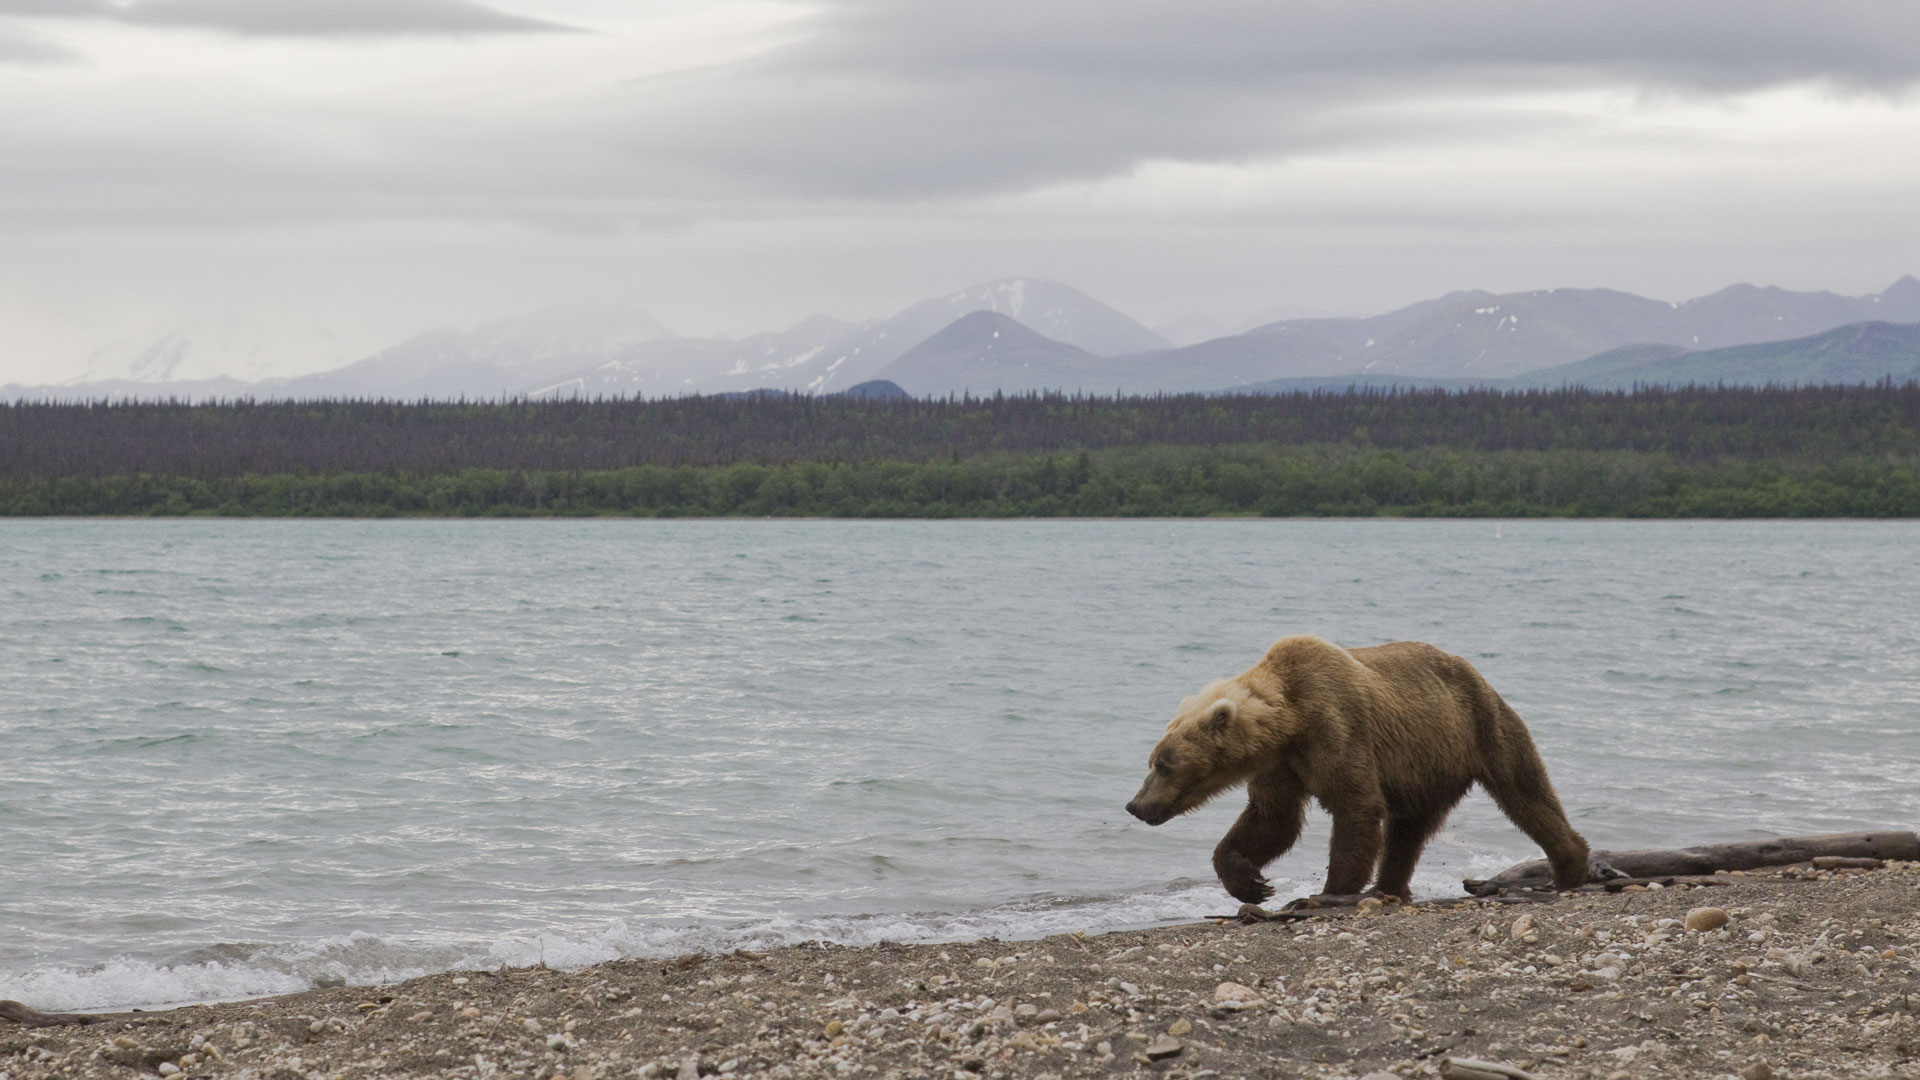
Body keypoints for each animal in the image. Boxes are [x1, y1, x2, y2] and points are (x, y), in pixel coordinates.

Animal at [1125, 635, 1595, 904]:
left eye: (1163, 764)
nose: (1135, 805)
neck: (1288, 720)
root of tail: (1475, 671)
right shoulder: (1283, 764)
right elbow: (1272, 819)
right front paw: (1250, 881)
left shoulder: (1334, 727)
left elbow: (1356, 806)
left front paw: (1328, 891)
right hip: (1425, 767)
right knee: (1408, 831)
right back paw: (1388, 888)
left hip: (1484, 726)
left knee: (1525, 792)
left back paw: (1570, 865)